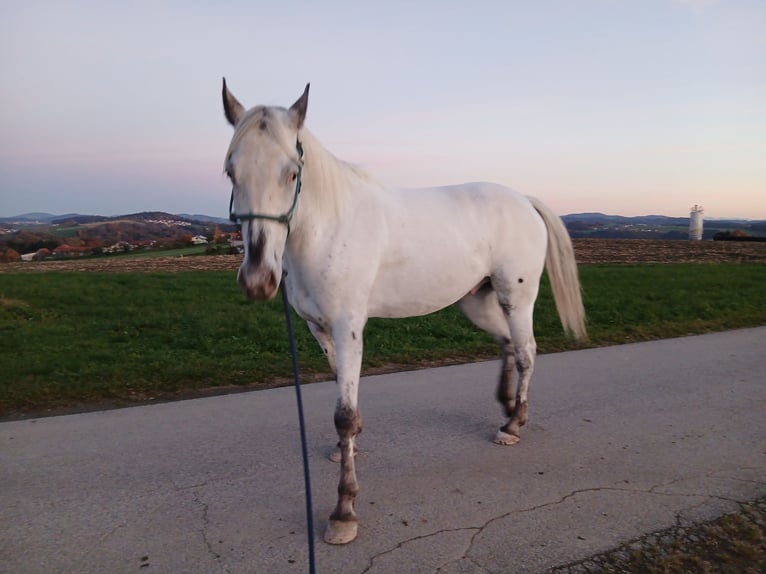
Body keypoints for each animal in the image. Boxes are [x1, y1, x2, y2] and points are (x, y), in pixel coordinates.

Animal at [221, 79, 587, 545]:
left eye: (291, 171)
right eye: (231, 171)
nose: (257, 279)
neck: (329, 226)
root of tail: (523, 199)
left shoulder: (348, 327)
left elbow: (343, 415)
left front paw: (344, 511)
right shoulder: (320, 330)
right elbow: (343, 398)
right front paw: (347, 448)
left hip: (515, 298)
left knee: (526, 352)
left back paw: (513, 425)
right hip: (476, 300)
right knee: (506, 343)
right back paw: (505, 409)